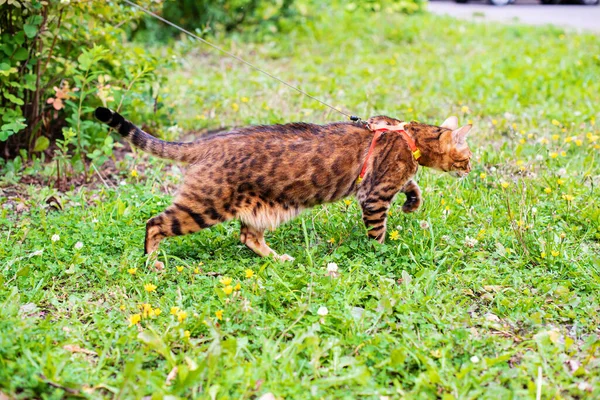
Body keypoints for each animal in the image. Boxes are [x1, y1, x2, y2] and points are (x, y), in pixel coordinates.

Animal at [94, 107, 472, 262]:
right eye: (467, 157)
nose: (470, 170)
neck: (410, 136)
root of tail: (210, 141)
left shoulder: (386, 184)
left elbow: (413, 185)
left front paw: (413, 202)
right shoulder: (374, 195)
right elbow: (378, 232)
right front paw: (382, 252)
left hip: (257, 206)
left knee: (248, 237)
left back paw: (280, 259)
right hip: (205, 206)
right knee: (154, 224)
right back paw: (152, 263)